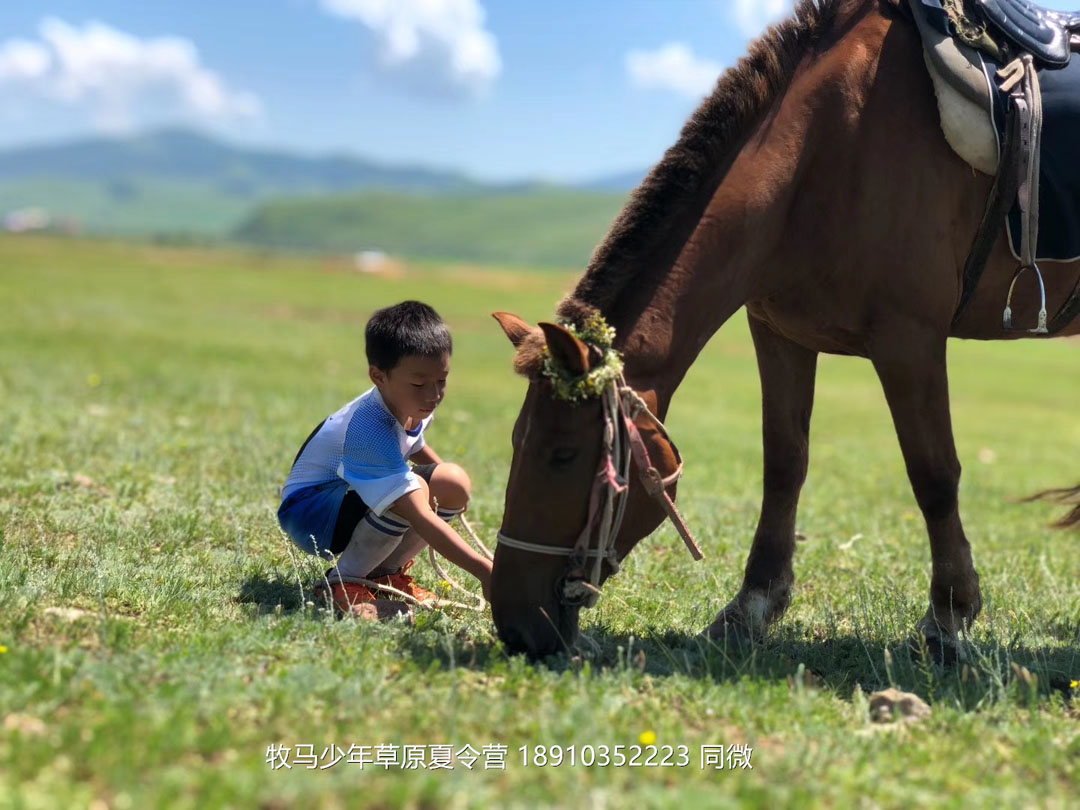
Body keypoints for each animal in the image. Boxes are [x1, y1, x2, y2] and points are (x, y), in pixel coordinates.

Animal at [492, 0, 1080, 660]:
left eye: (563, 455)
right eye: (516, 441)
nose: (515, 624)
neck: (826, 148)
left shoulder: (910, 339)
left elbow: (933, 473)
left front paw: (949, 616)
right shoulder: (779, 333)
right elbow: (784, 462)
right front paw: (752, 605)